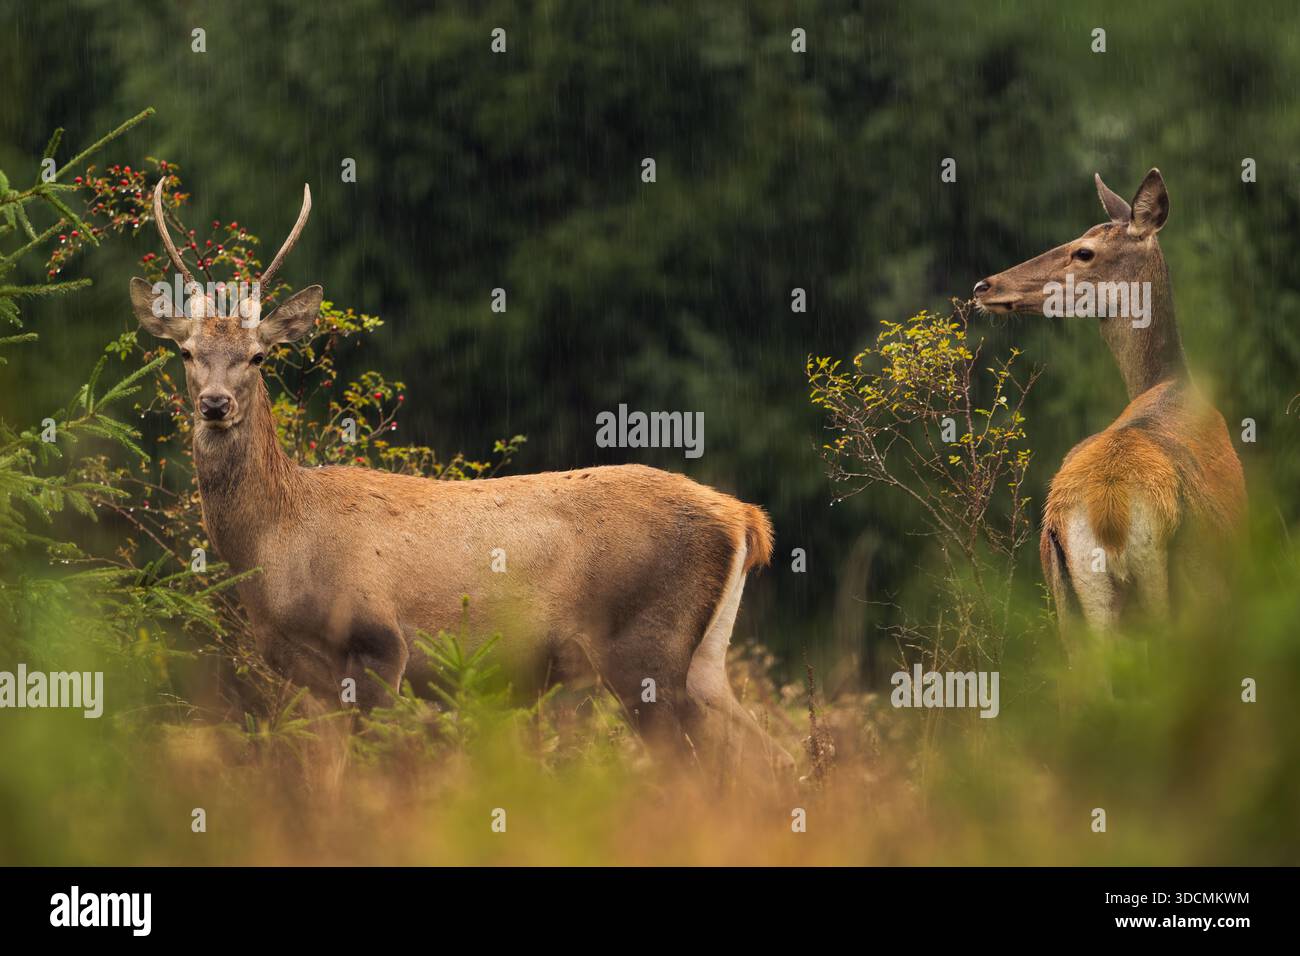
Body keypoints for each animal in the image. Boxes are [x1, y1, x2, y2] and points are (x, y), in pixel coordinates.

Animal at [129, 180, 793, 781]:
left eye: (259, 356)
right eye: (185, 353)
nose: (215, 404)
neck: (281, 543)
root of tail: (743, 519)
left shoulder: (379, 642)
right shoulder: (299, 673)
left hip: (644, 646)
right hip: (704, 657)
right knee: (764, 750)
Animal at [972, 169, 1246, 658]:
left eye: (1084, 250)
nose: (984, 286)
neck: (1171, 381)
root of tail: (1109, 508)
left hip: (1070, 596)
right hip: (1188, 586)